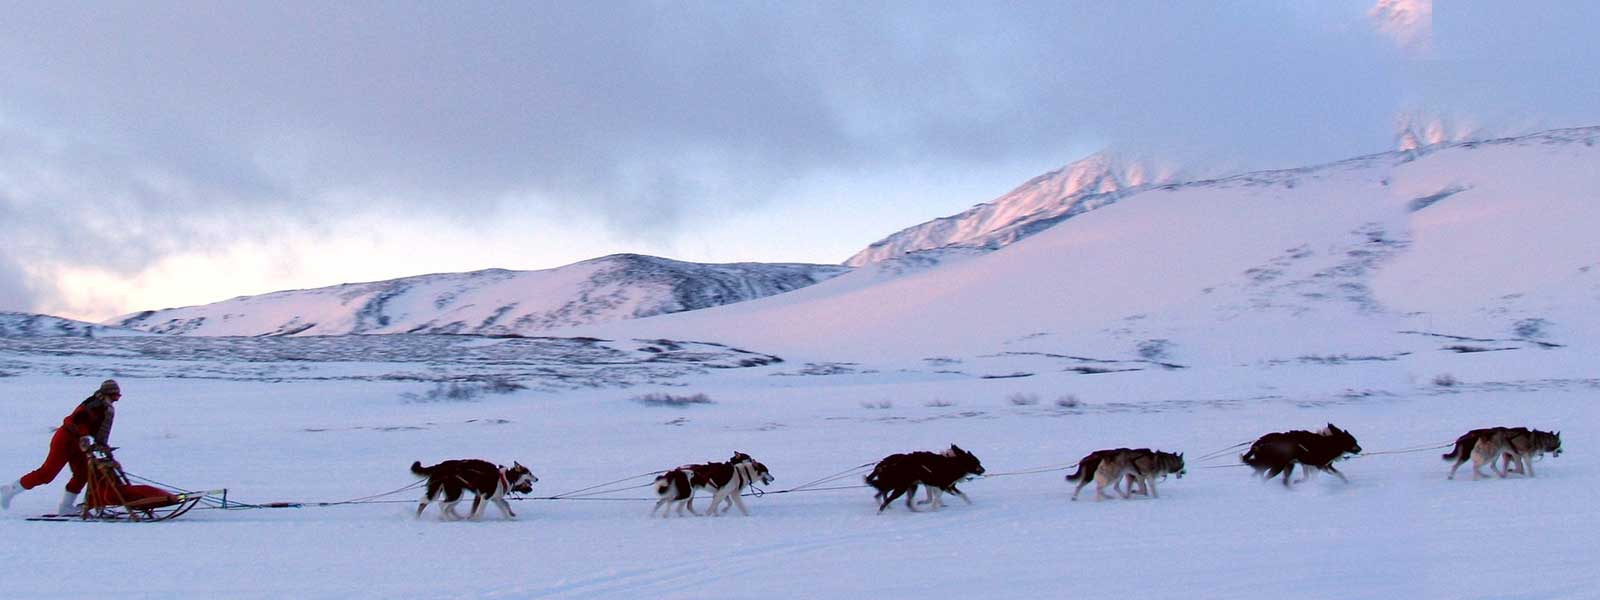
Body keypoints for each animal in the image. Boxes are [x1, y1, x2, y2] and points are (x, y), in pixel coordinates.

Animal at [1235, 425, 1363, 489]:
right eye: (1353, 441)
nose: (1361, 448)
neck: (1329, 443)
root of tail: (1259, 441)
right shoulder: (1320, 466)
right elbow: (1316, 476)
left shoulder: (1307, 464)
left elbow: (1339, 474)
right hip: (1278, 465)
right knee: (1264, 476)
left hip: (1283, 465)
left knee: (1260, 473)